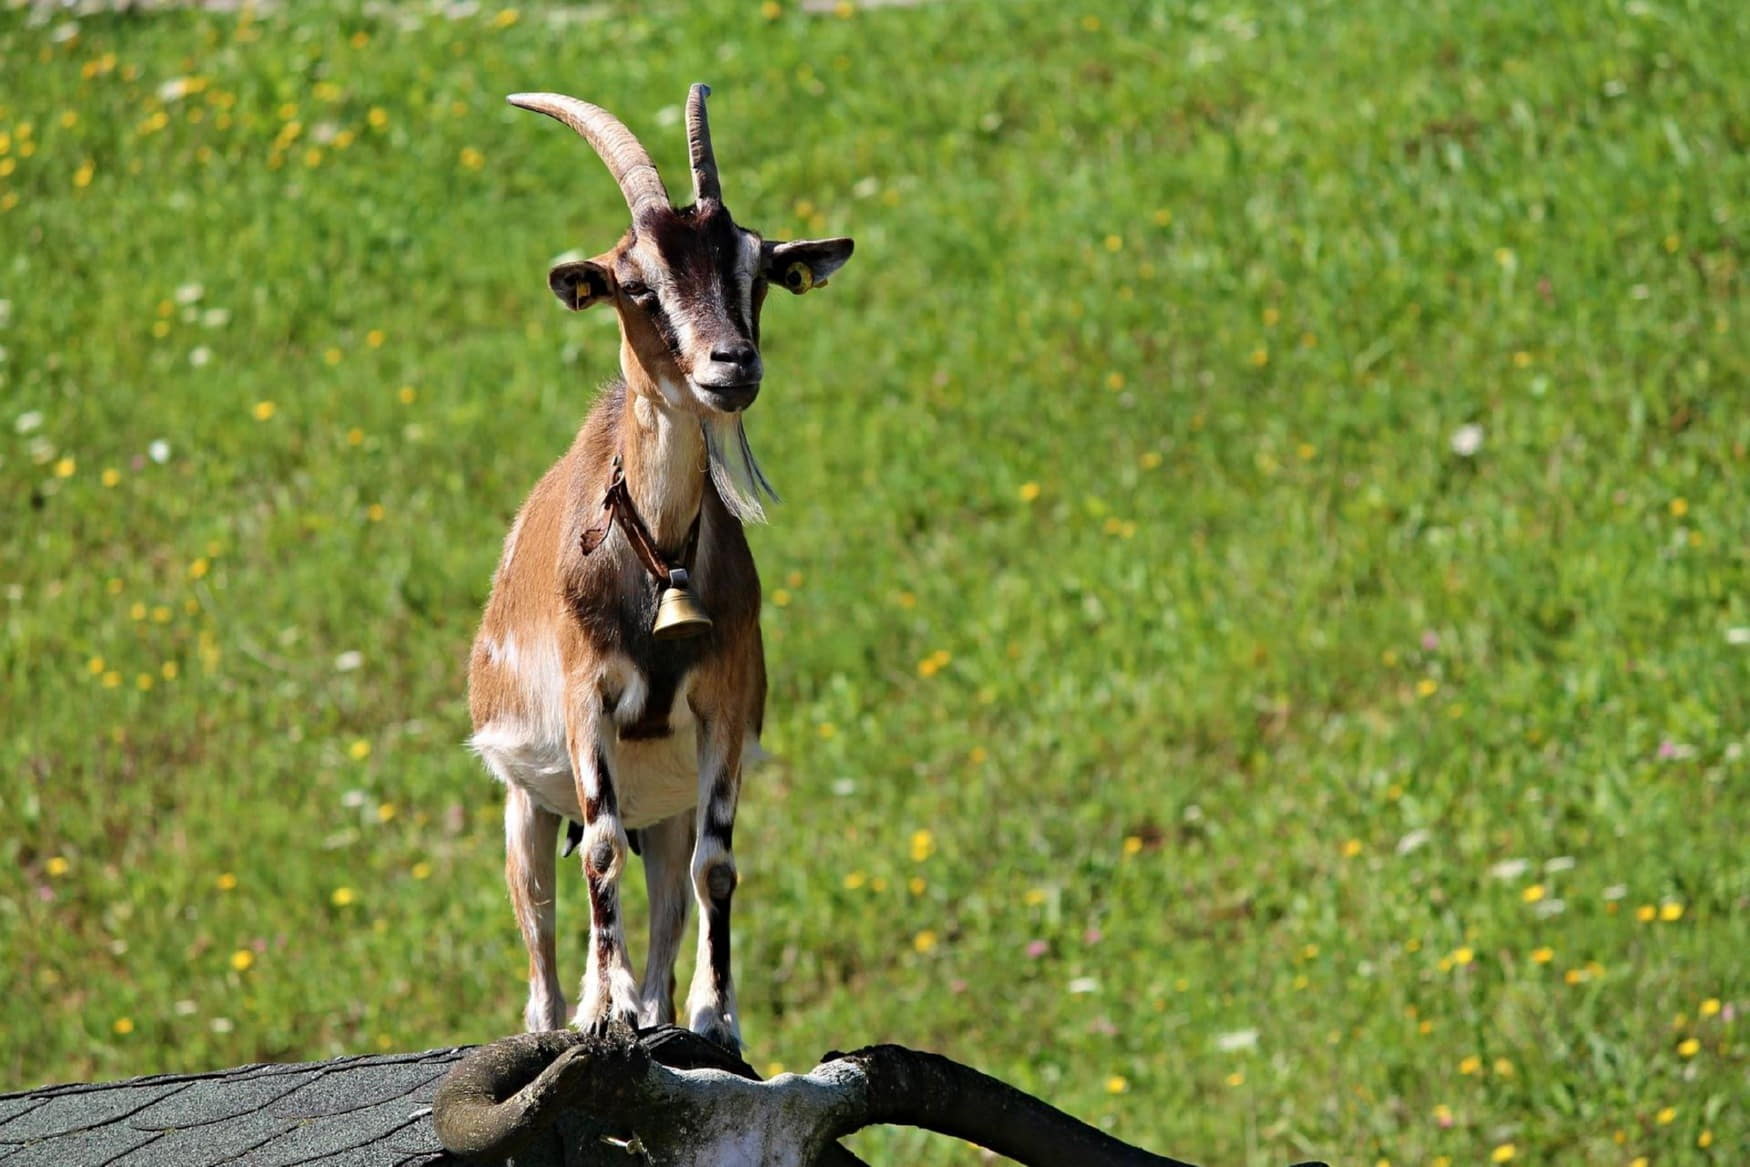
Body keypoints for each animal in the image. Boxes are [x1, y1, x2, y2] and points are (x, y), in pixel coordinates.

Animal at [467, 84, 853, 1049]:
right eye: (636, 283)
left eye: (757, 269)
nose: (733, 364)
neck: (655, 557)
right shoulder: (585, 698)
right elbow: (602, 845)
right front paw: (604, 1016)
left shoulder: (724, 701)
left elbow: (718, 866)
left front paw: (718, 1020)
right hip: (525, 805)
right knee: (541, 925)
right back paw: (570, 1014)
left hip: (665, 809)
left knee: (671, 903)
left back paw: (652, 1006)